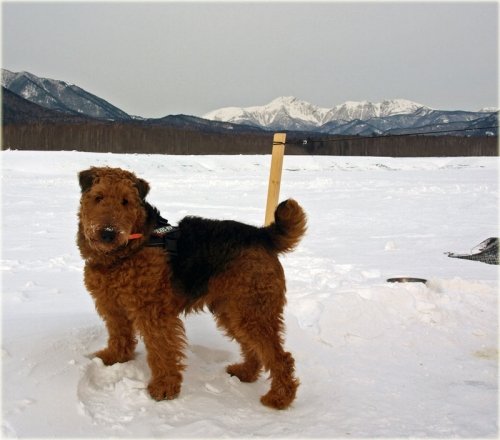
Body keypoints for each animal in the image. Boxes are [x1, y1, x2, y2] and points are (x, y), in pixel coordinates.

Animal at [76, 166, 306, 410]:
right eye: (98, 197)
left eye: (126, 201)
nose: (108, 233)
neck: (127, 249)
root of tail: (263, 235)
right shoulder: (112, 306)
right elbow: (119, 335)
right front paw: (113, 358)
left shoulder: (154, 313)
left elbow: (162, 350)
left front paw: (164, 388)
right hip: (234, 311)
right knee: (254, 348)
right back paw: (245, 372)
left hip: (253, 310)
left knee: (281, 357)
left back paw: (279, 398)